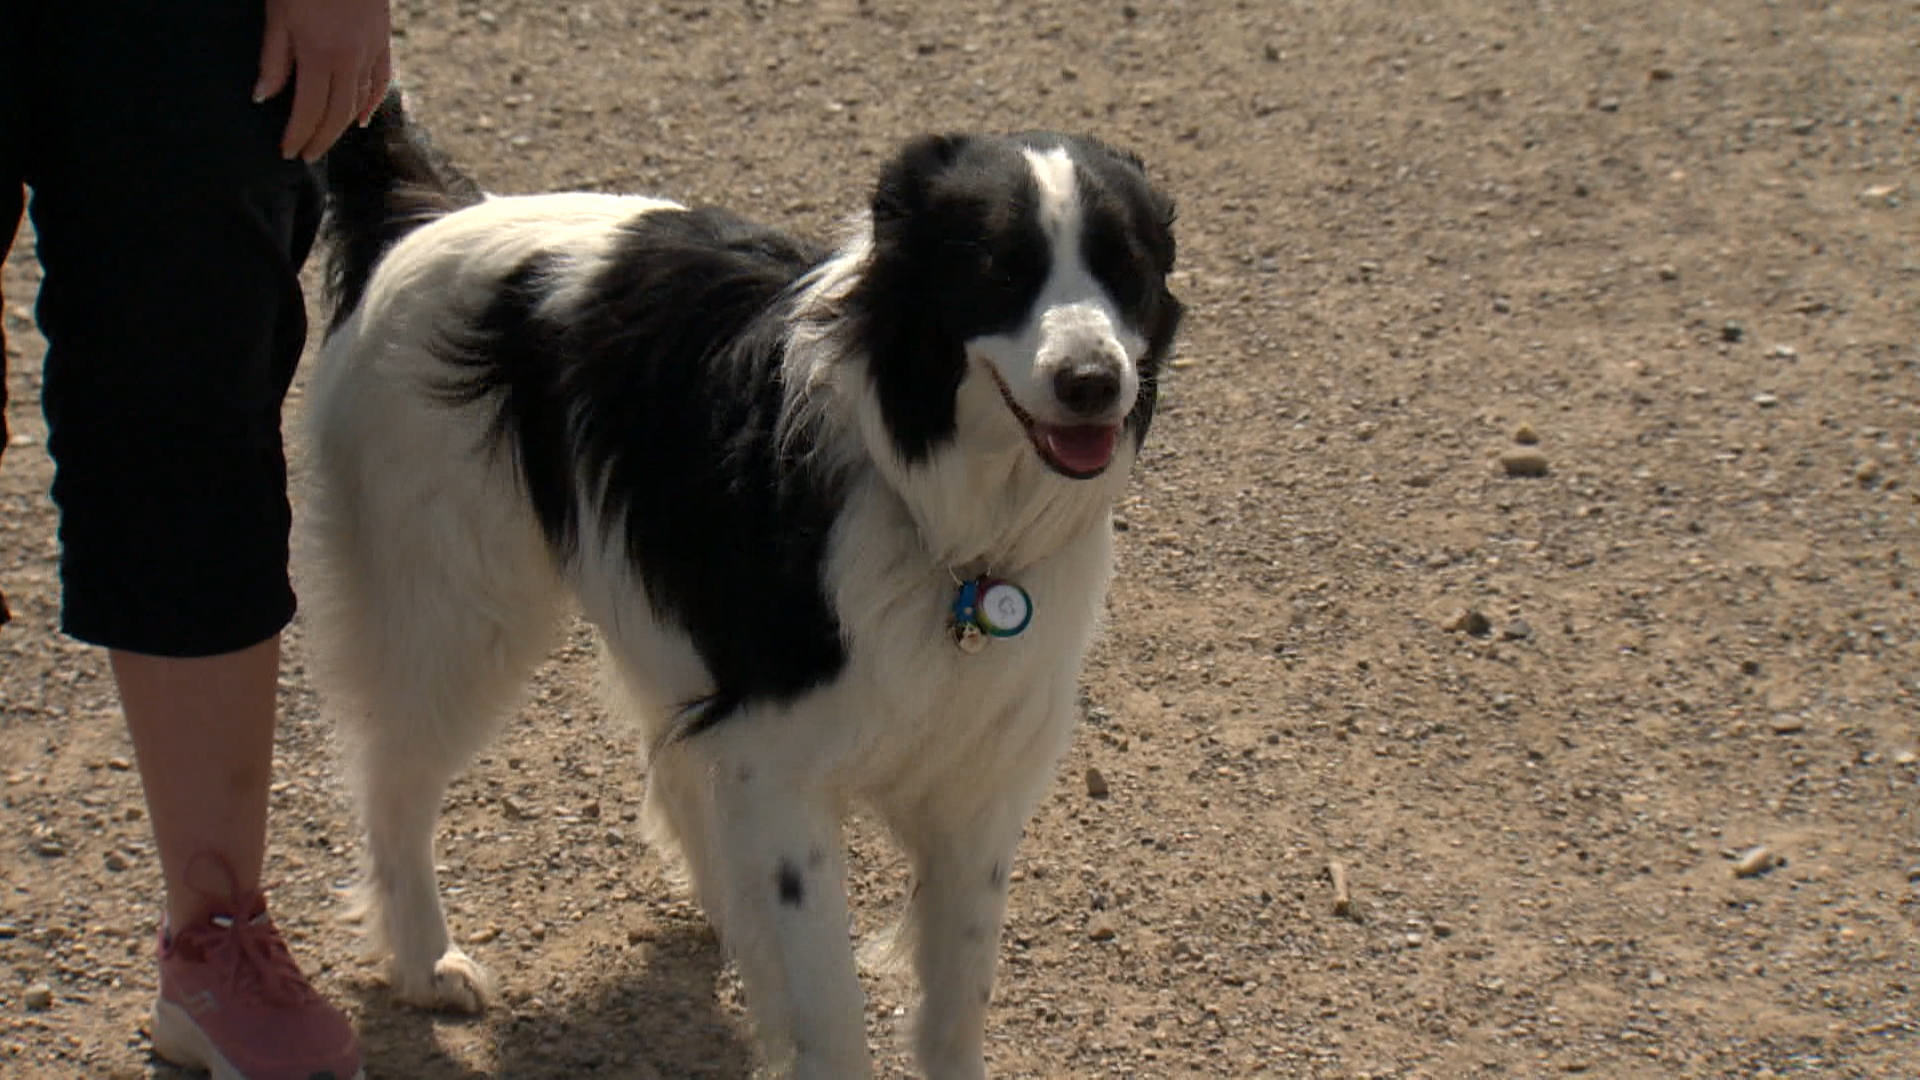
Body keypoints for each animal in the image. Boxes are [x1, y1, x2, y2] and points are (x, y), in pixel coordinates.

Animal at [305, 94, 1175, 1076]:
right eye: (999, 267)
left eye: (1127, 270)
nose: (1094, 382)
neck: (944, 519)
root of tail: (426, 210)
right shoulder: (783, 762)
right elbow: (830, 1003)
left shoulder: (976, 779)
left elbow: (955, 1003)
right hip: (452, 615)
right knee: (393, 782)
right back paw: (425, 962)